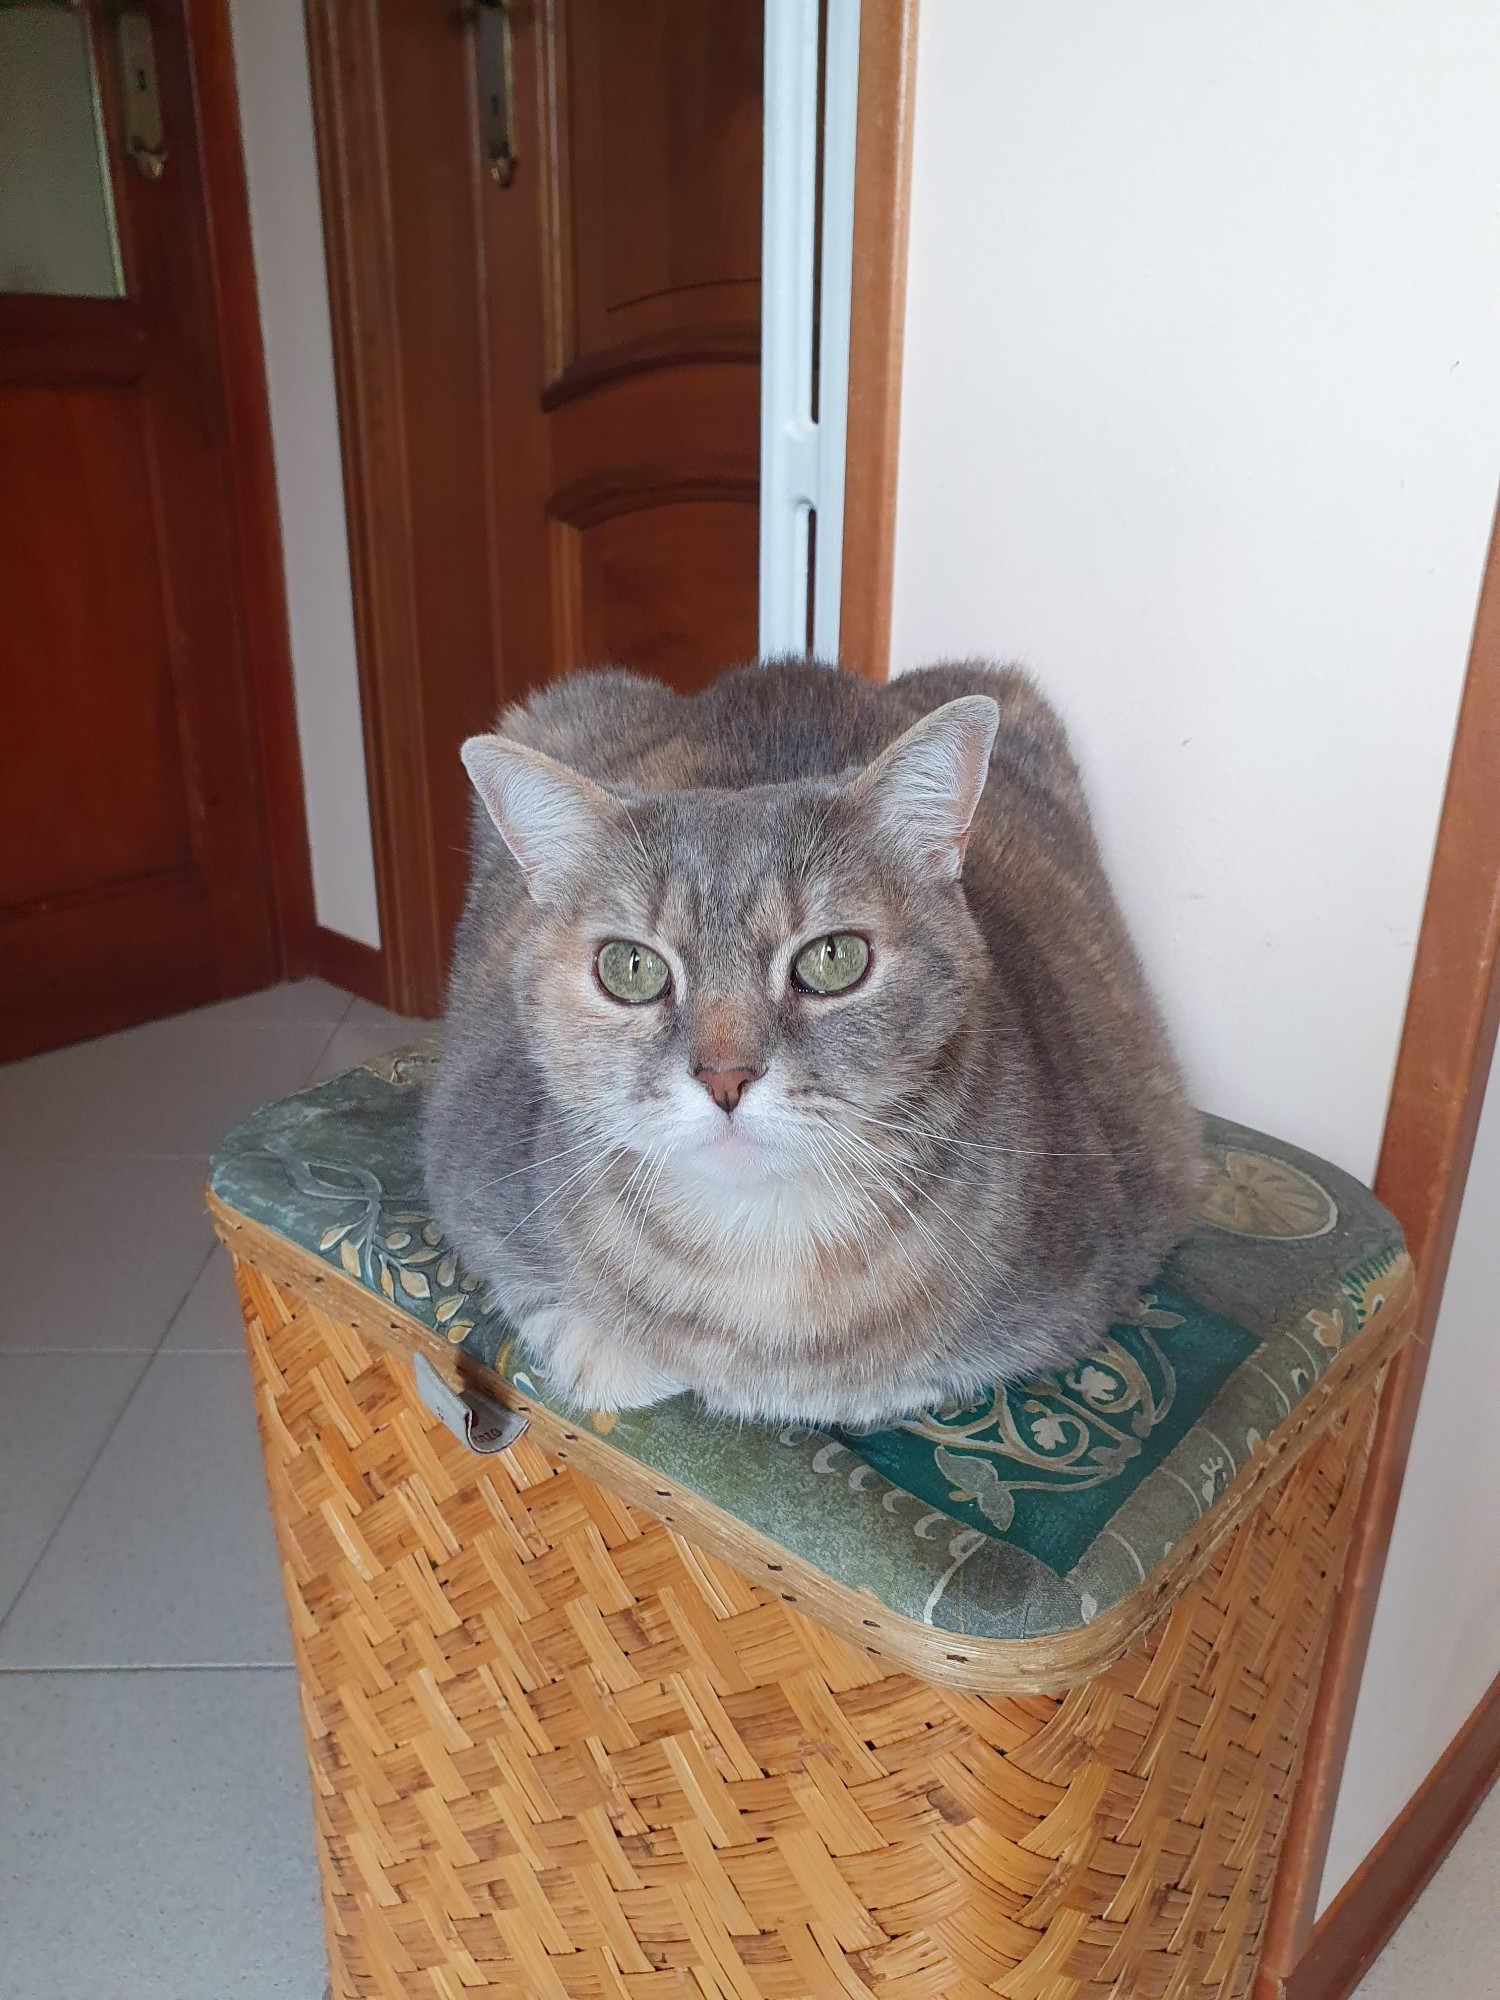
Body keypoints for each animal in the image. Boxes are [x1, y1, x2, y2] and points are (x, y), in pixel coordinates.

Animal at [428, 664, 1208, 1432]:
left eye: (834, 958)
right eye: (631, 967)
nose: (726, 1077)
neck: (762, 1249)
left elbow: (899, 1378)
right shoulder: (468, 1179)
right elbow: (553, 1312)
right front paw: (615, 1352)